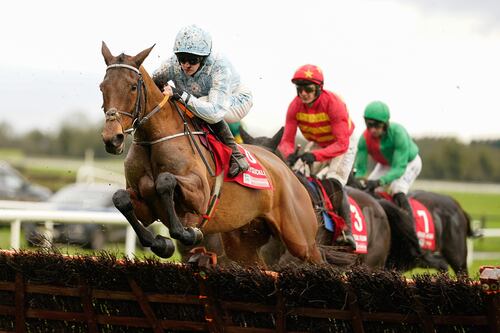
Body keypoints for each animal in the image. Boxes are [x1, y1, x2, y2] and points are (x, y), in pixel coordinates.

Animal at [99, 42, 322, 264]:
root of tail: (288, 173)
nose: (112, 138)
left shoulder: (200, 194)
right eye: (102, 87)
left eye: (132, 87)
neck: (153, 139)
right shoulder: (143, 203)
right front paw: (162, 243)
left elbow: (165, 181)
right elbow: (120, 198)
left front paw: (187, 233)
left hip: (300, 239)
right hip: (243, 244)